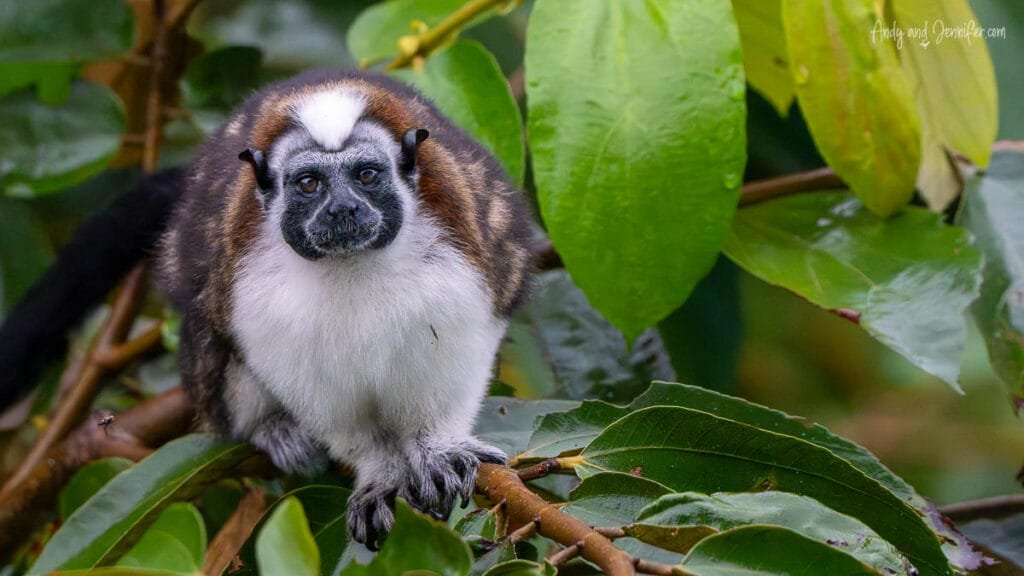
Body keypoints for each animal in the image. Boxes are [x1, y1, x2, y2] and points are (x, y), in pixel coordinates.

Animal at [0, 70, 534, 549]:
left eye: (366, 175)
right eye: (309, 183)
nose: (342, 209)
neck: (351, 266)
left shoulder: (461, 249)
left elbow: (460, 346)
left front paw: (434, 450)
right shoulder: (253, 290)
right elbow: (316, 392)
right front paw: (379, 471)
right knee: (213, 346)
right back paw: (271, 429)